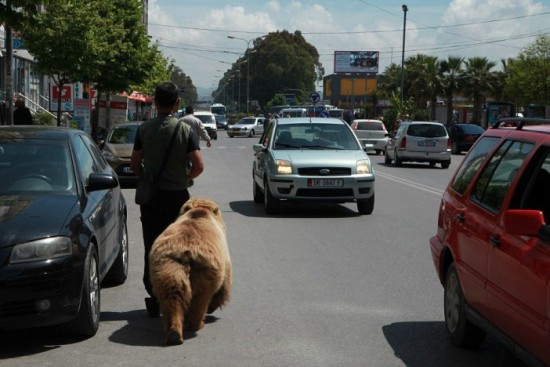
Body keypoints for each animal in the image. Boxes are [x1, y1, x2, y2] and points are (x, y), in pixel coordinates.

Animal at [149, 198, 231, 344]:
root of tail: (186, 252)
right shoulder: (224, 256)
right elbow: (224, 282)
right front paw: (214, 305)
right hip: (204, 271)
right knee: (200, 298)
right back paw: (197, 324)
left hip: (167, 267)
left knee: (171, 296)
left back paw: (174, 333)